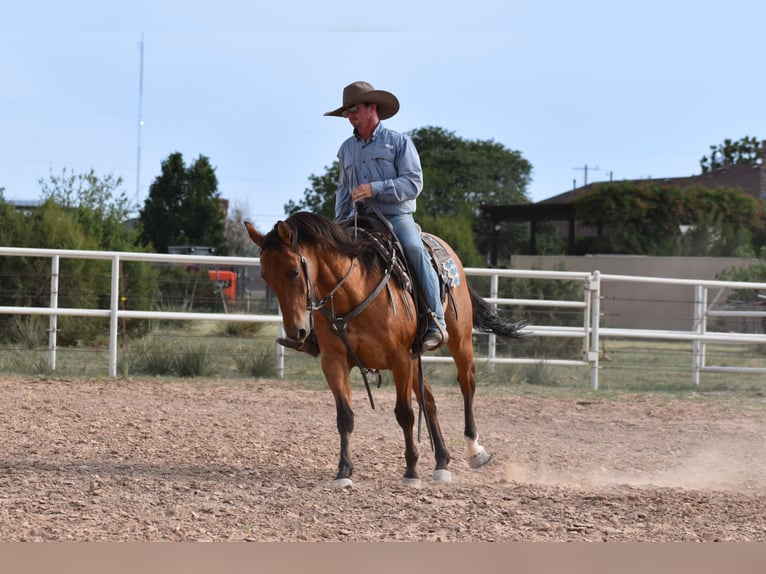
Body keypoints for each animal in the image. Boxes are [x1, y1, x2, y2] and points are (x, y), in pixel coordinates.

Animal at [244, 211, 528, 487]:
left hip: (459, 340)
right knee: (429, 399)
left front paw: (411, 470)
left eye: (293, 271)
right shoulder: (334, 361)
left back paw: (474, 451)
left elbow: (405, 414)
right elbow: (344, 416)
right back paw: (441, 463)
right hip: (415, 359)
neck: (353, 293)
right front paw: (343, 471)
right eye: (265, 276)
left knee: (466, 385)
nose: (297, 332)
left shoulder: (399, 359)